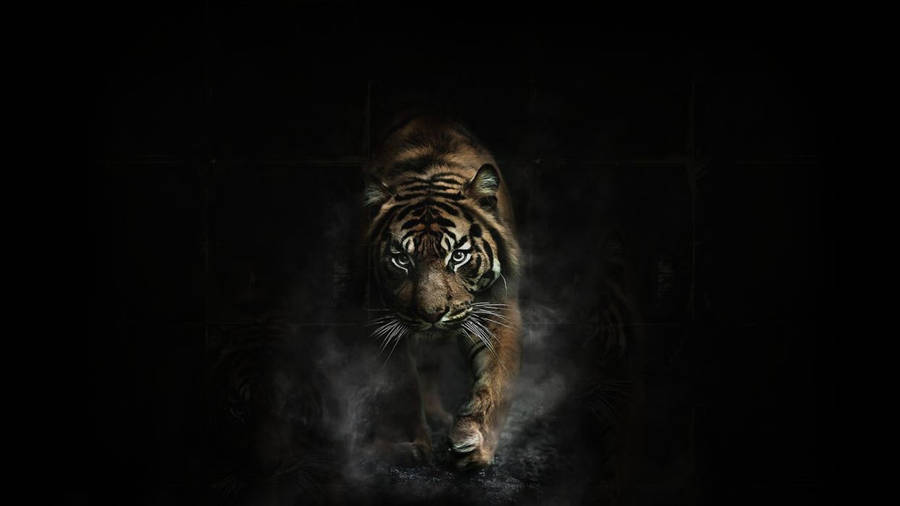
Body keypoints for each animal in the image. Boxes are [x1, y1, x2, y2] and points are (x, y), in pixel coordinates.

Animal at [361, 114, 521, 469]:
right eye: (401, 259)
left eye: (458, 256)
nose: (432, 314)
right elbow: (402, 385)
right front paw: (408, 444)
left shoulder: (497, 306)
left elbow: (495, 378)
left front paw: (474, 442)